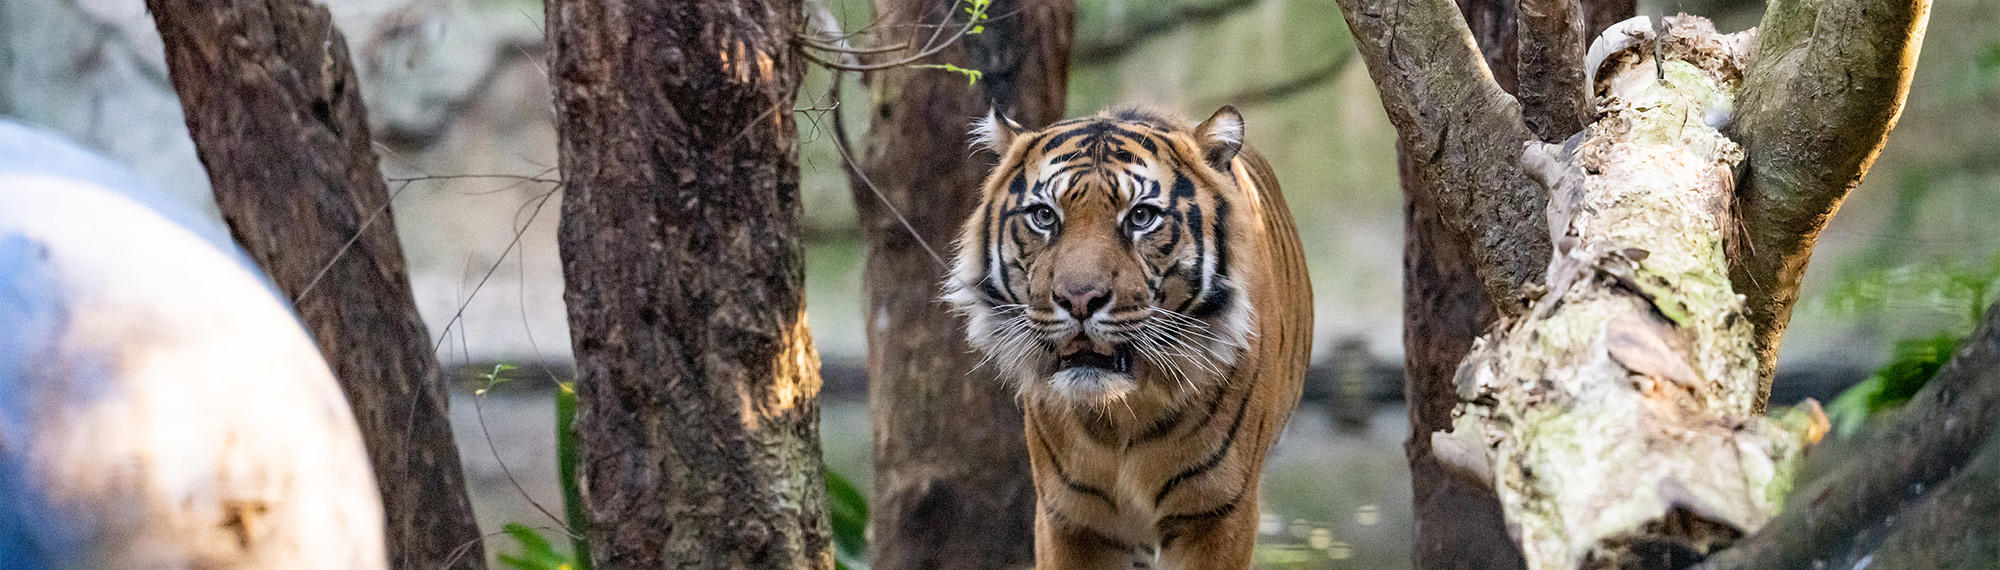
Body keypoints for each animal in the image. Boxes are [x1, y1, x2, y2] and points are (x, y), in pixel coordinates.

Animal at [945, 105, 1312, 569]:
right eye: (1044, 216)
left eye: (1141, 217)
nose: (1079, 299)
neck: (1123, 414)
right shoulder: (1070, 518)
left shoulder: (1217, 514)